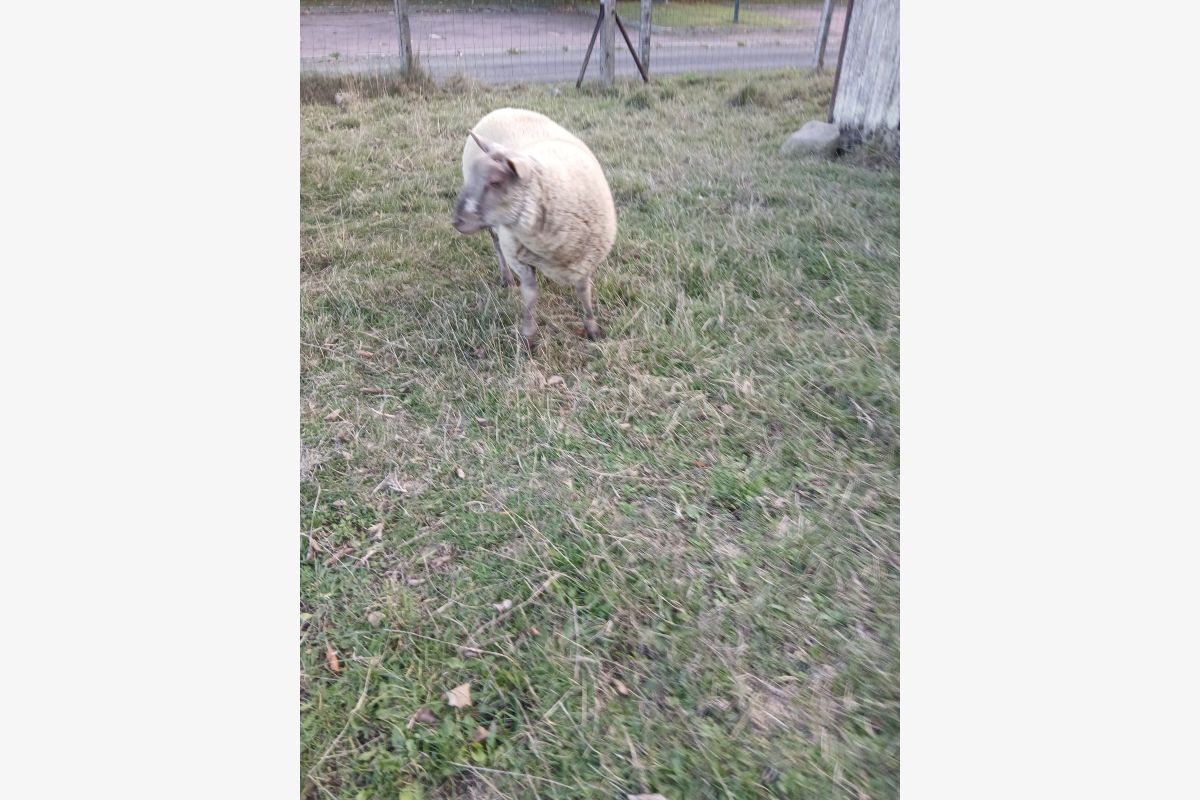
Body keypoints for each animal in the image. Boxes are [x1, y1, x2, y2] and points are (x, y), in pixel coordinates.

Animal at [451, 108, 617, 348]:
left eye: (495, 182)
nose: (457, 221)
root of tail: (503, 109)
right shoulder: (519, 258)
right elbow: (530, 295)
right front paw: (529, 336)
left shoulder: (586, 259)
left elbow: (584, 292)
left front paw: (593, 329)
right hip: (496, 231)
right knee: (497, 245)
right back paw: (506, 278)